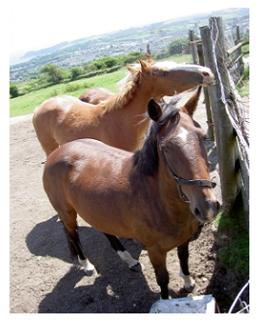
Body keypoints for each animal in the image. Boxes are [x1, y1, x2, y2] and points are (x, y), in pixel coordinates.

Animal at [43, 88, 219, 300]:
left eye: (203, 137)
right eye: (165, 147)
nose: (207, 207)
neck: (156, 200)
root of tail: (57, 153)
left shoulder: (183, 240)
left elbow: (184, 259)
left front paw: (188, 282)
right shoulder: (155, 251)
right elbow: (163, 280)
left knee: (105, 231)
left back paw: (129, 260)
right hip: (67, 213)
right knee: (73, 235)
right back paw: (86, 265)